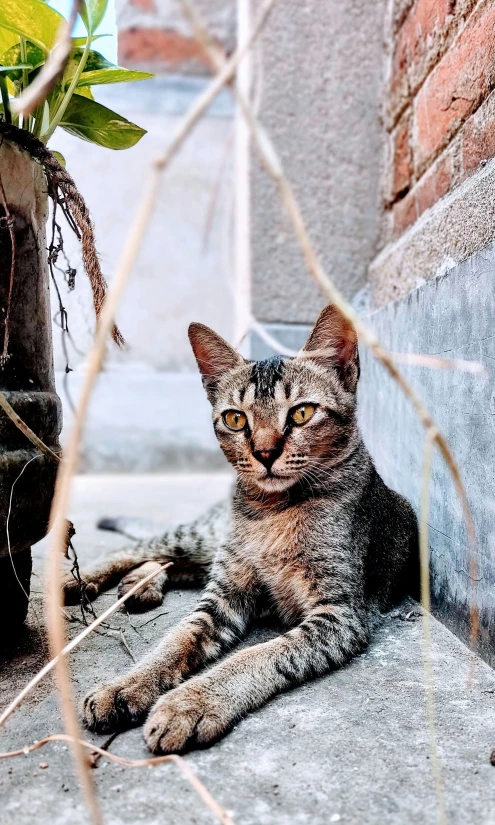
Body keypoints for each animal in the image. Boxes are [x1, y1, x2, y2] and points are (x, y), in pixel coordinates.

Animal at [64, 304, 416, 752]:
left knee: (170, 561)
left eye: (302, 413)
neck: (272, 510)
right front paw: (127, 685)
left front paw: (190, 702)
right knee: (142, 547)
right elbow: (178, 637)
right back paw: (86, 580)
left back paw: (141, 584)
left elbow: (260, 654)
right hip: (206, 539)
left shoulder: (338, 614)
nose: (264, 453)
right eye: (235, 419)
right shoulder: (225, 592)